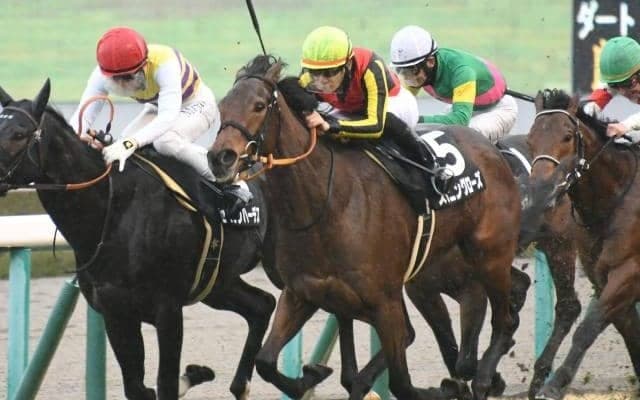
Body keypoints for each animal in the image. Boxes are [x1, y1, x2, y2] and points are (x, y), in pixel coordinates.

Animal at [0, 79, 277, 400]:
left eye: (19, 134)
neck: (112, 210)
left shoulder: (168, 309)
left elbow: (165, 384)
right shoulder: (116, 312)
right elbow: (138, 387)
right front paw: (193, 374)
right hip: (217, 283)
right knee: (262, 305)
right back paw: (238, 384)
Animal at [207, 54, 522, 400]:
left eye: (260, 105)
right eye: (222, 106)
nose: (220, 158)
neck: (325, 203)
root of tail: (489, 147)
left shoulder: (384, 302)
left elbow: (401, 382)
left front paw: (446, 388)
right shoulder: (303, 292)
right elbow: (265, 361)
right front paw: (312, 375)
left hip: (489, 255)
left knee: (504, 319)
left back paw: (483, 378)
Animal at [522, 89, 640, 400]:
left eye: (566, 136)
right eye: (530, 139)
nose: (542, 191)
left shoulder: (629, 271)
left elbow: (588, 328)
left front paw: (553, 385)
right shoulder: (602, 277)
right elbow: (629, 331)